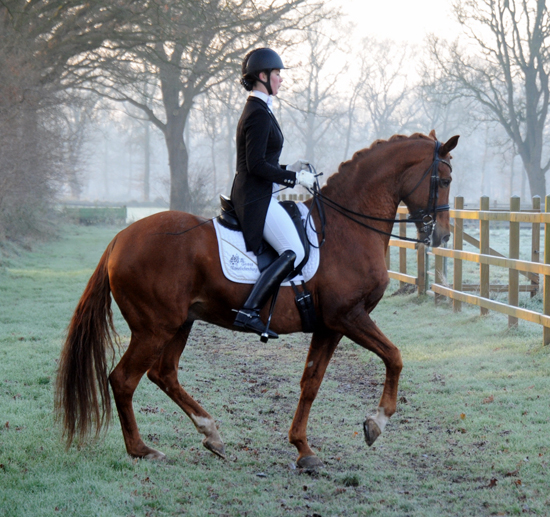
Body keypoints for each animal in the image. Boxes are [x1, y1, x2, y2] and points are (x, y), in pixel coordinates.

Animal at [56, 129, 462, 468]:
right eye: (443, 180)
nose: (442, 236)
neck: (345, 230)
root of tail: (120, 239)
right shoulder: (349, 316)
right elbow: (394, 357)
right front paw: (375, 423)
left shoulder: (329, 326)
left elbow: (311, 383)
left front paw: (303, 449)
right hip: (153, 328)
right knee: (124, 379)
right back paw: (142, 450)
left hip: (181, 323)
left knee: (163, 374)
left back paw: (210, 434)